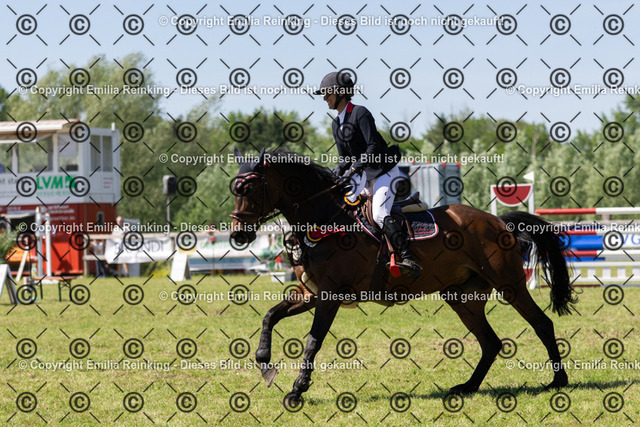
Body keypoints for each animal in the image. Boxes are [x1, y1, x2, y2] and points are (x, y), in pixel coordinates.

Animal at [229, 147, 577, 405]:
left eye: (249, 188)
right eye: (235, 188)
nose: (237, 234)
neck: (326, 219)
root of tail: (498, 221)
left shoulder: (330, 295)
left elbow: (313, 340)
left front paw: (297, 390)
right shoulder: (310, 294)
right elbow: (270, 316)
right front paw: (264, 363)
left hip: (509, 284)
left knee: (541, 324)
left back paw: (558, 381)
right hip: (461, 296)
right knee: (490, 342)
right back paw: (467, 386)